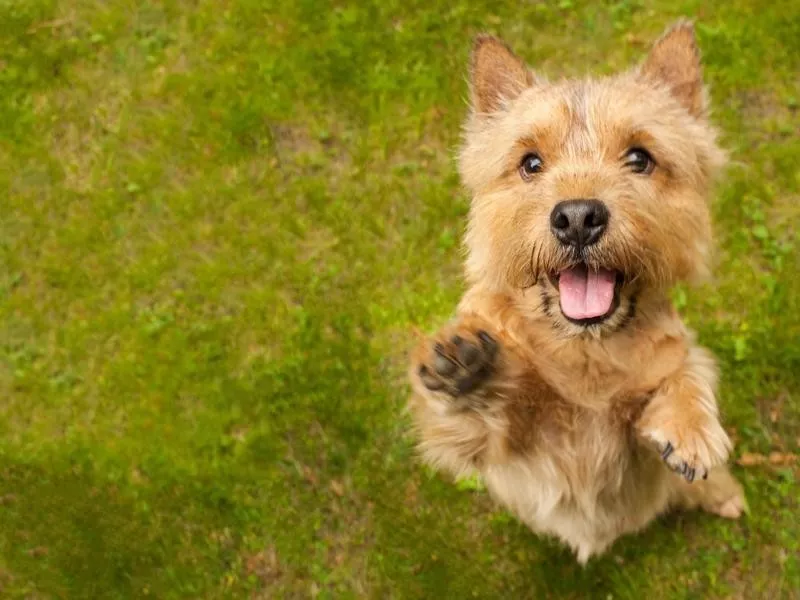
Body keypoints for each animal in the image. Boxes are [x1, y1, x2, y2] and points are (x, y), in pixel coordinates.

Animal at [410, 18, 748, 564]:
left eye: (640, 158)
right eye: (530, 163)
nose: (577, 218)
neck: (587, 349)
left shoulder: (662, 378)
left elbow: (684, 370)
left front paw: (689, 426)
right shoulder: (518, 450)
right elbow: (486, 418)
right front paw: (467, 369)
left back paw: (724, 494)